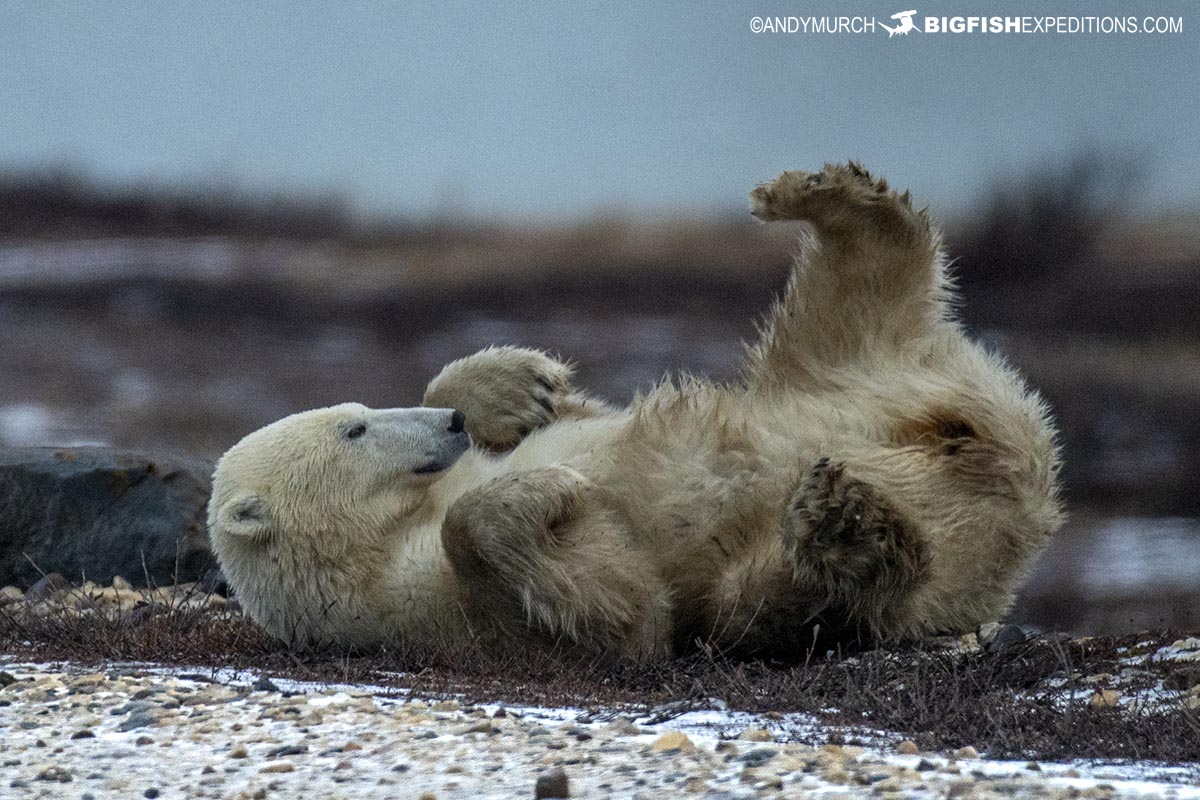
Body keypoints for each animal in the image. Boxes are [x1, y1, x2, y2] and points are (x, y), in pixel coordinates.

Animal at [208, 162, 1064, 660]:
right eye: (353, 429)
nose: (450, 433)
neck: (381, 536)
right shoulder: (424, 606)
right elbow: (624, 615)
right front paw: (547, 490)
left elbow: (566, 413)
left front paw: (513, 389)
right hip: (879, 539)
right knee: (781, 595)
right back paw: (843, 524)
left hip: (864, 379)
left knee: (847, 308)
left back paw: (830, 195)